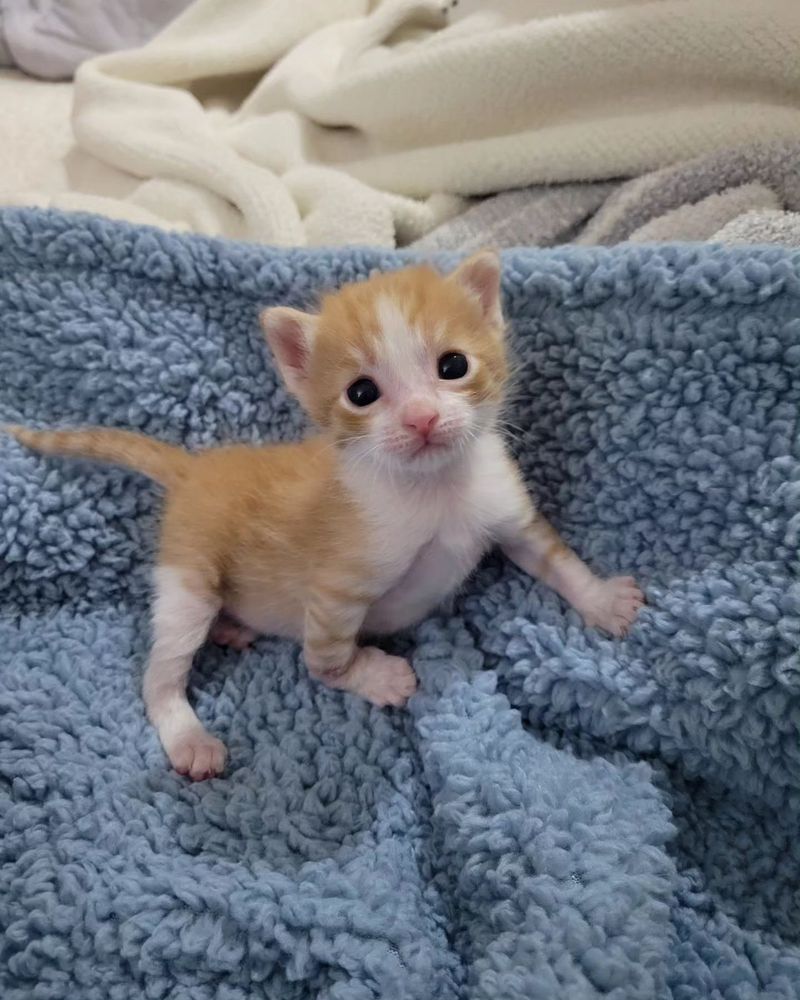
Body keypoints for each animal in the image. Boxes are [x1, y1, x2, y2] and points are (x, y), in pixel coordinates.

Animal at [4, 252, 644, 780]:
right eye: (362, 393)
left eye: (453, 365)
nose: (421, 418)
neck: (434, 490)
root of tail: (197, 468)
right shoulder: (337, 586)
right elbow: (324, 661)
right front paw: (376, 676)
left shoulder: (508, 512)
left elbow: (557, 561)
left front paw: (604, 601)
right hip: (188, 578)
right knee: (162, 669)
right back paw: (188, 734)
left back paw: (233, 628)